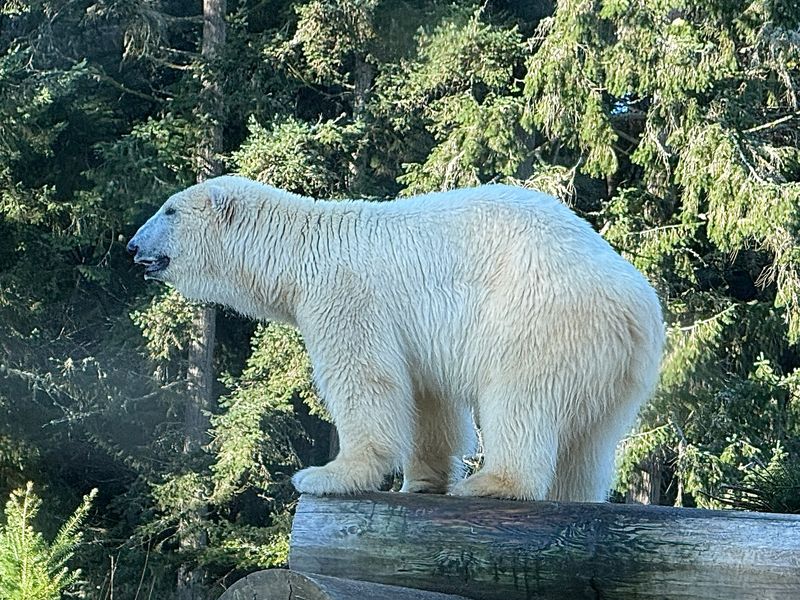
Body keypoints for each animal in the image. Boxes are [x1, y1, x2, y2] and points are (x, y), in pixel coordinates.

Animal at [128, 175, 664, 502]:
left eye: (170, 211)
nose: (133, 246)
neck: (301, 251)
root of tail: (635, 305)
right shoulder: (414, 333)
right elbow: (429, 400)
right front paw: (421, 481)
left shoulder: (344, 295)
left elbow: (364, 379)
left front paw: (329, 475)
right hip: (616, 369)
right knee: (590, 443)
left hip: (539, 320)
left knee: (520, 398)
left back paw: (492, 481)